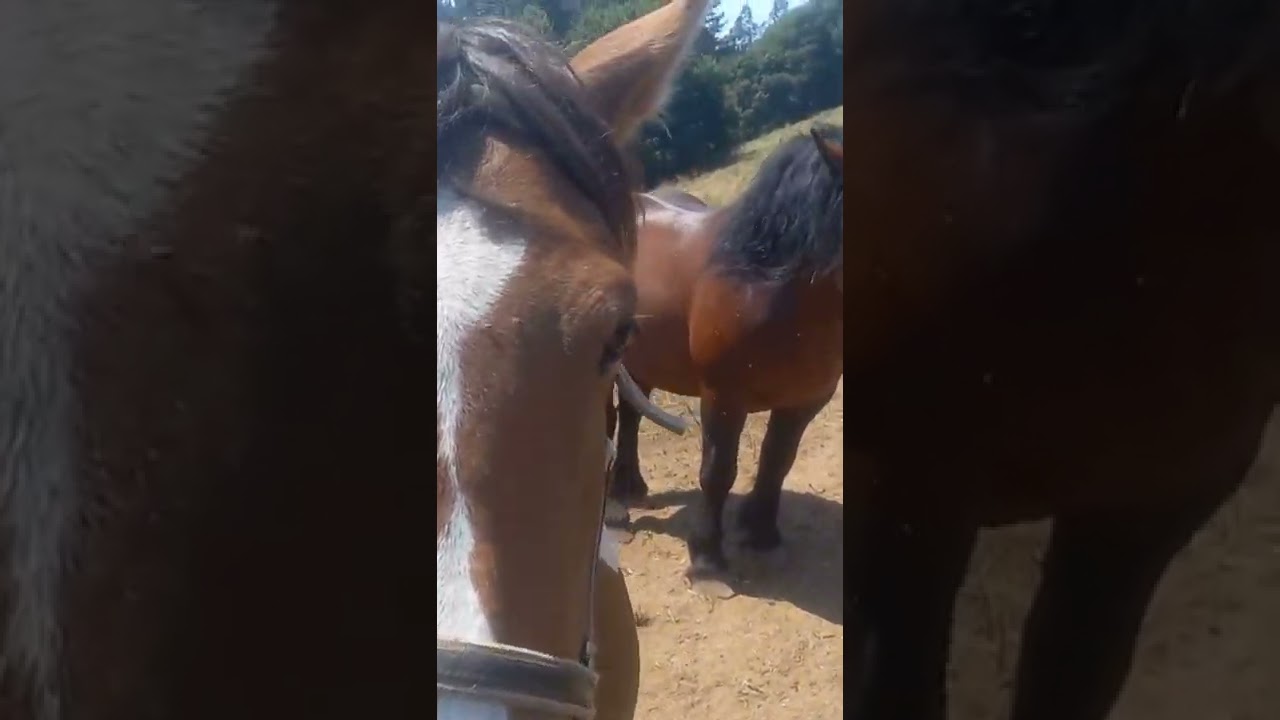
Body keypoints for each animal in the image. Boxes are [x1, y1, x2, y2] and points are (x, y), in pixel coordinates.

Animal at [606, 126, 845, 594]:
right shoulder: (722, 397)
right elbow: (717, 472)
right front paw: (707, 561)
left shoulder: (806, 400)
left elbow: (776, 463)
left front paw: (762, 534)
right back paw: (613, 511)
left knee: (630, 414)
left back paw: (630, 486)